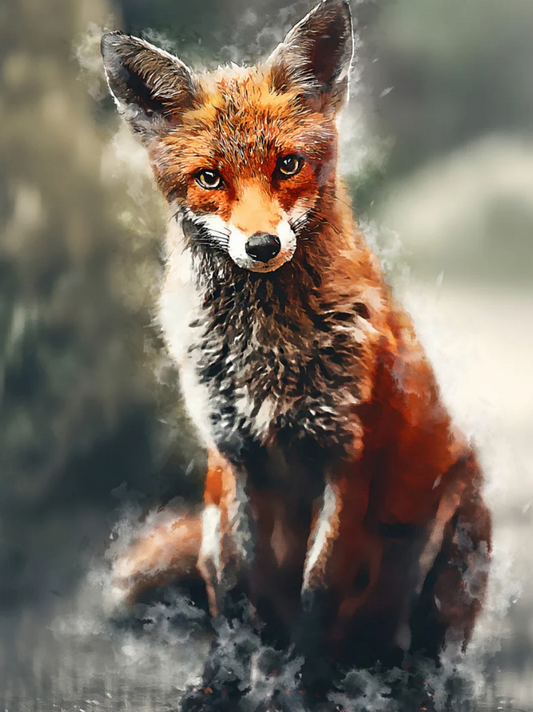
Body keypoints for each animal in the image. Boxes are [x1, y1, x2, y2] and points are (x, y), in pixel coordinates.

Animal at [101, 0, 492, 707]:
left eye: (287, 165)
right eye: (209, 178)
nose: (261, 246)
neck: (267, 355)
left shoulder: (347, 459)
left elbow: (321, 594)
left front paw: (304, 692)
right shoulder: (233, 459)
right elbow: (235, 599)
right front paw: (221, 684)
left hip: (461, 528)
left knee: (427, 645)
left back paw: (404, 682)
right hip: (208, 519)